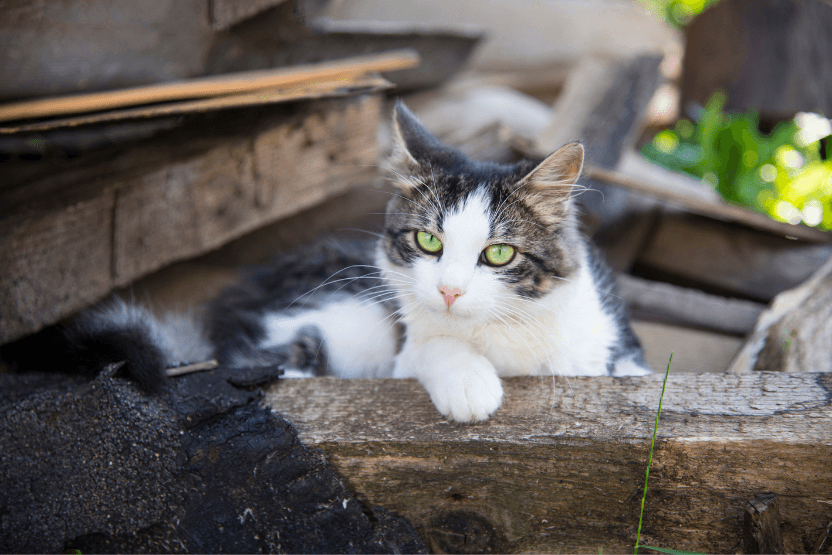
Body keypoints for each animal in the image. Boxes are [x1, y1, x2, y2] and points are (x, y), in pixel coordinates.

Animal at [0, 102, 648, 422]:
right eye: (428, 242)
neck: (506, 340)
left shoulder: (613, 347)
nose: (449, 291)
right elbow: (435, 348)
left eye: (499, 253)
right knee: (255, 359)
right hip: (347, 316)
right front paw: (471, 386)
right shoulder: (404, 345)